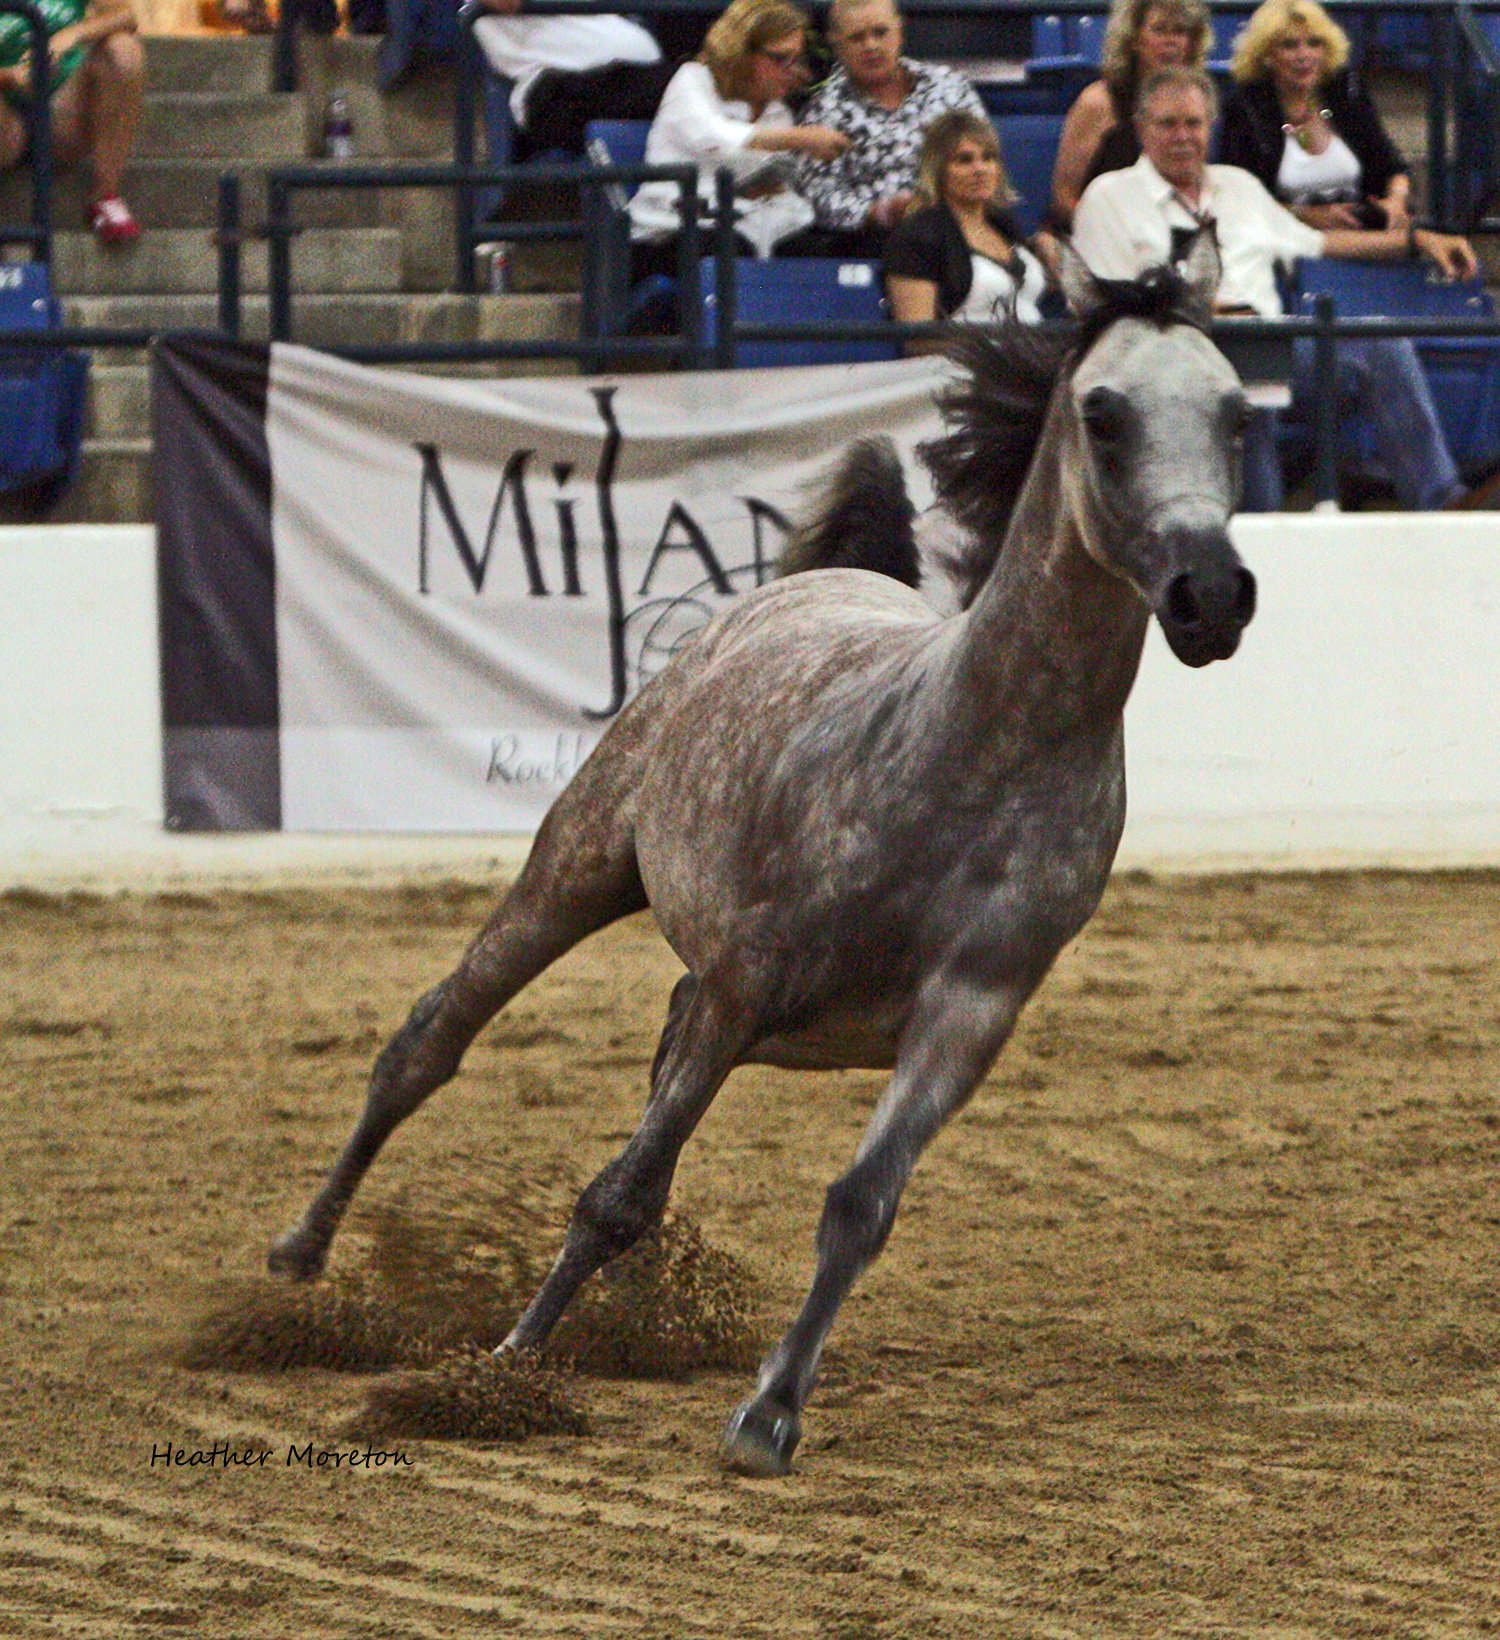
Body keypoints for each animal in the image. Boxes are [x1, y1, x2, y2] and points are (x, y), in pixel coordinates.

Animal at [267, 237, 1252, 1482]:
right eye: (1105, 414)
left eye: (1235, 412)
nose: (1212, 595)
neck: (971, 745)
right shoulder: (750, 980)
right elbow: (617, 1191)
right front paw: (506, 1367)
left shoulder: (967, 1013)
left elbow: (858, 1205)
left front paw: (770, 1410)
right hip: (582, 861)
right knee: (429, 1040)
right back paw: (301, 1261)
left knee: (646, 1057)